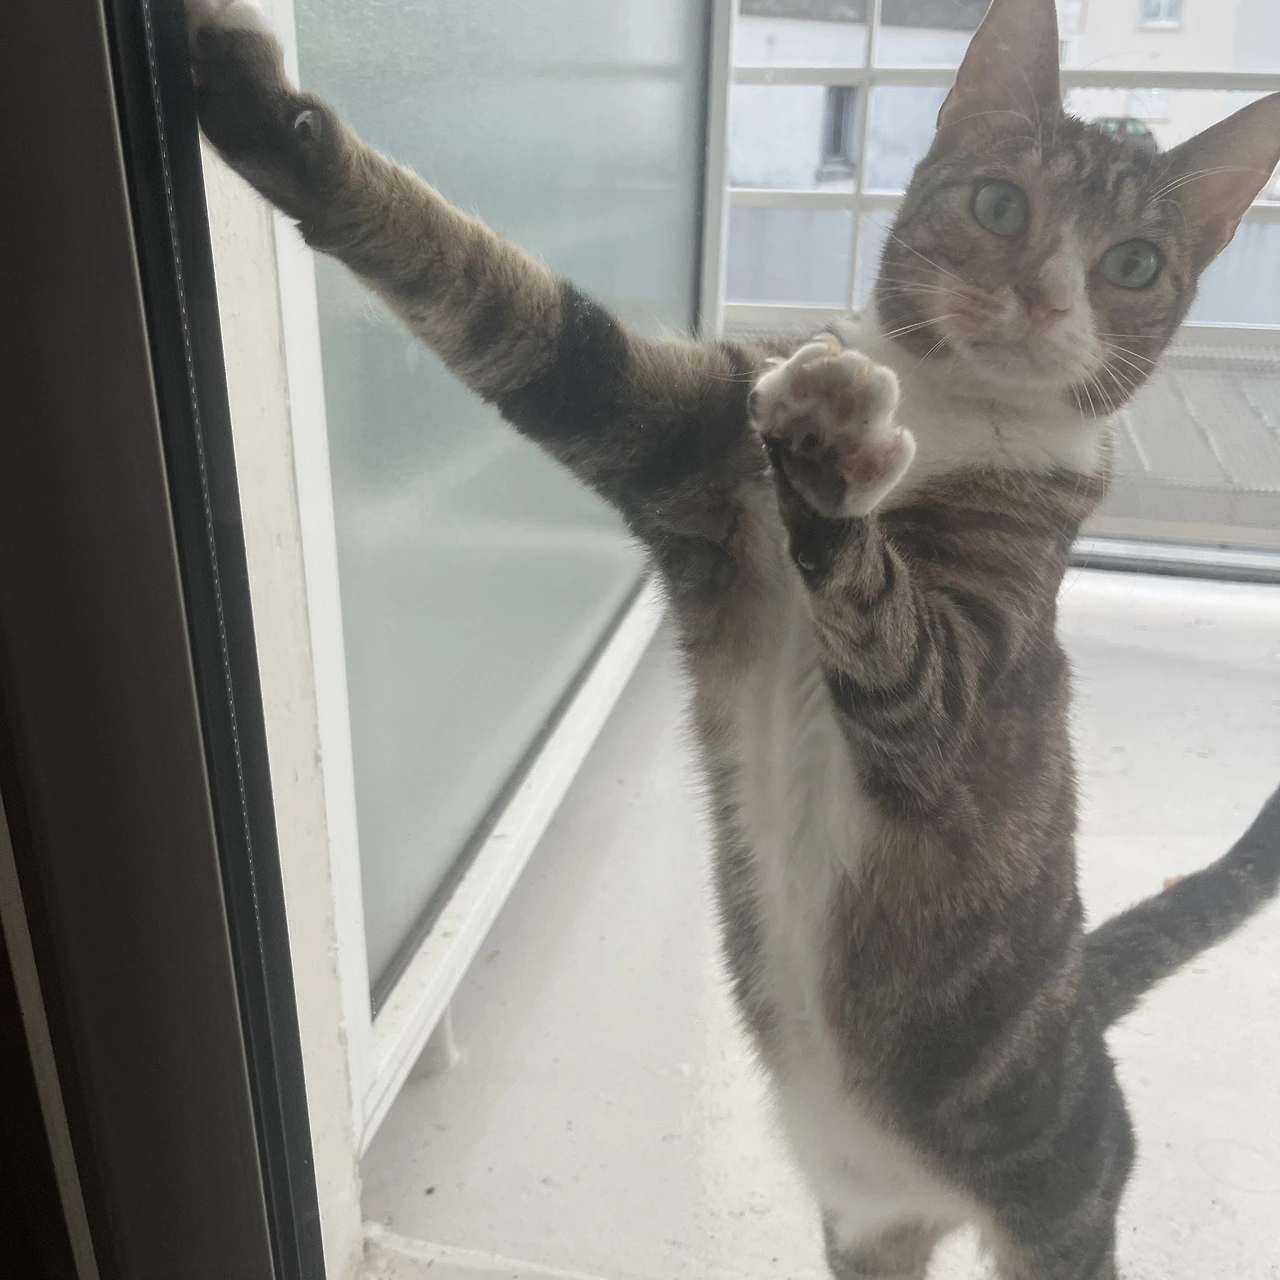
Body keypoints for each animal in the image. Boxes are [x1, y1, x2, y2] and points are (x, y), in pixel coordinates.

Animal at [186, 0, 1280, 1275]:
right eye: (1000, 204)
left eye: (1133, 263)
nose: (1047, 300)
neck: (945, 408)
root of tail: (1078, 1002)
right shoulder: (678, 445)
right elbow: (514, 313)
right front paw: (270, 122)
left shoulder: (964, 690)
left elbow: (905, 648)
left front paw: (831, 463)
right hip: (863, 1225)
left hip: (1059, 1204)